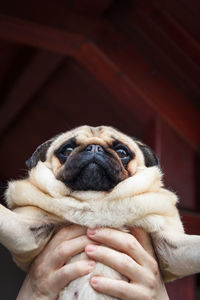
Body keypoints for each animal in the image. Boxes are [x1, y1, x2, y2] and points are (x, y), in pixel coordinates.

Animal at [0, 126, 200, 300]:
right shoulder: (26, 233)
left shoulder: (171, 249)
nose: (94, 147)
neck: (95, 199)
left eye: (122, 152)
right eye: (67, 149)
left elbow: (193, 245)